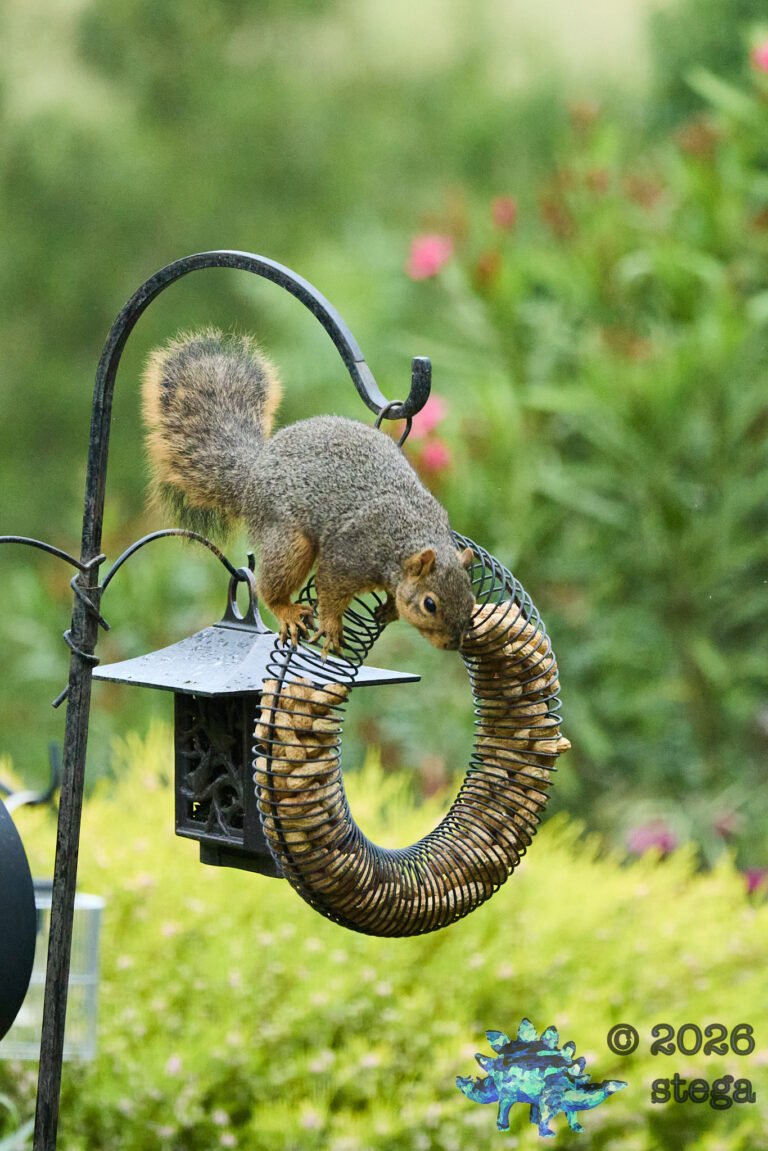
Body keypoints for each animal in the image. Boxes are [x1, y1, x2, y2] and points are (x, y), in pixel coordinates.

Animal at [141, 329, 475, 656]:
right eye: (429, 604)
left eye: (471, 600)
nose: (452, 644)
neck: (406, 539)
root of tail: (254, 470)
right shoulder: (348, 555)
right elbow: (329, 588)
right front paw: (330, 625)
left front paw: (390, 608)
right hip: (288, 540)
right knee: (271, 586)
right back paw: (287, 611)